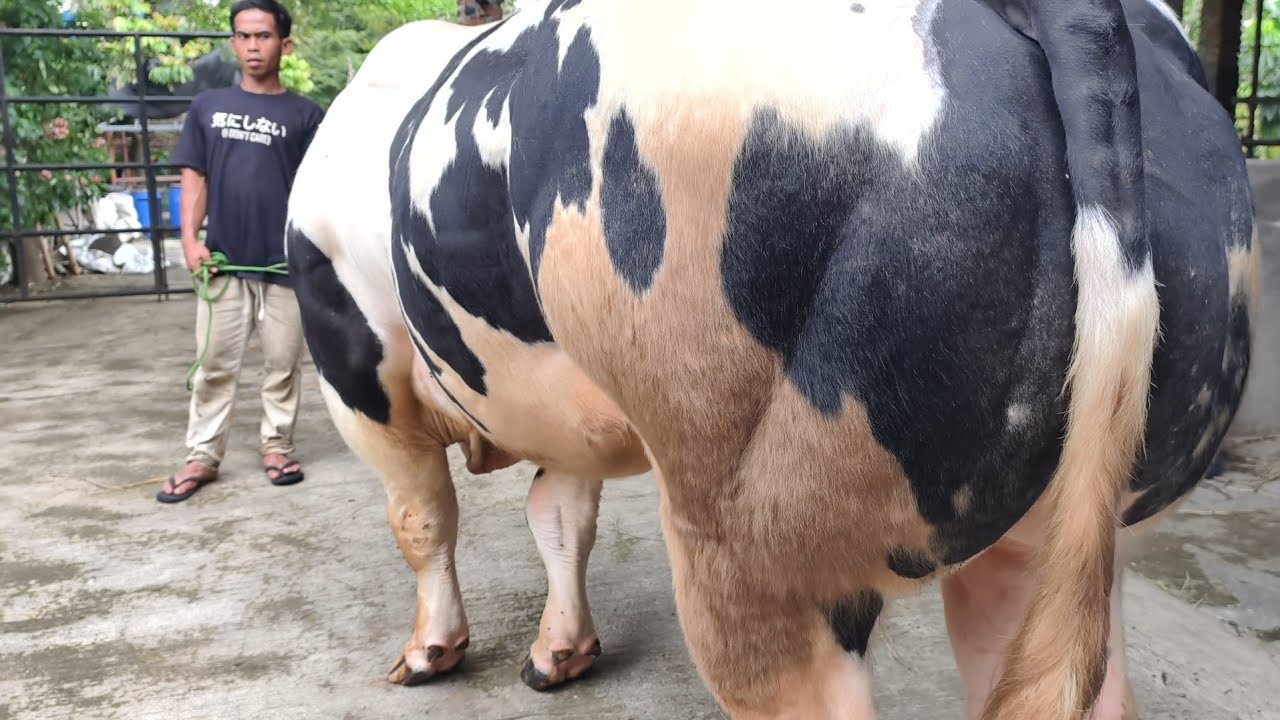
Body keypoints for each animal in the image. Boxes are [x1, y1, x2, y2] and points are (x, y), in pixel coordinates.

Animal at [286, 0, 1257, 717]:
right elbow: (559, 514)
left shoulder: (355, 369)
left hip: (759, 546)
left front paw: (431, 650)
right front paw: (560, 650)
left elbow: (423, 520)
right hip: (1054, 528)